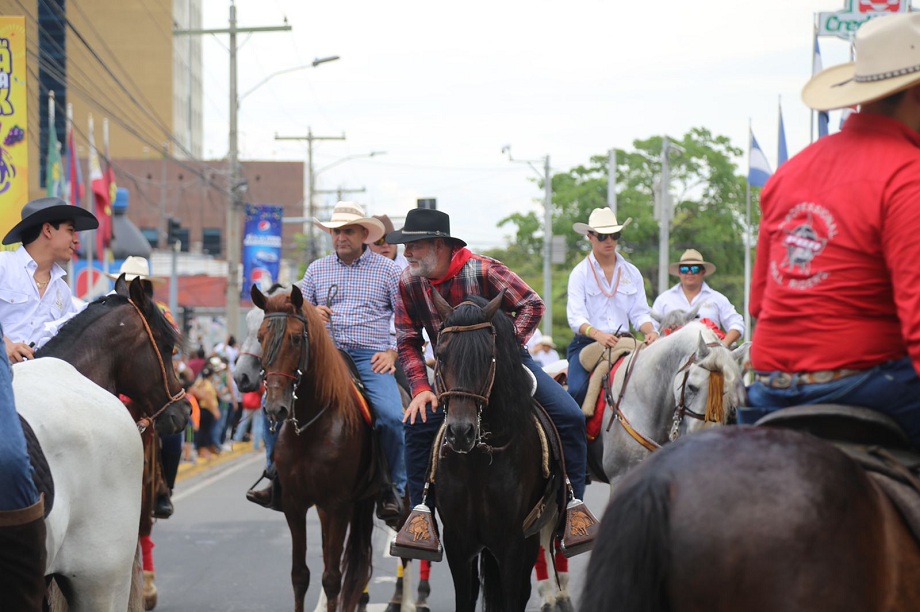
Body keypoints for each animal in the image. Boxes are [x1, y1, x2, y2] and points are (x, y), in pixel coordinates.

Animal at [250, 286, 376, 612]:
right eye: (260, 337)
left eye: (296, 338)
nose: (275, 408)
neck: (311, 430)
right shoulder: (294, 504)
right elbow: (300, 575)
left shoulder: (337, 504)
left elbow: (331, 579)